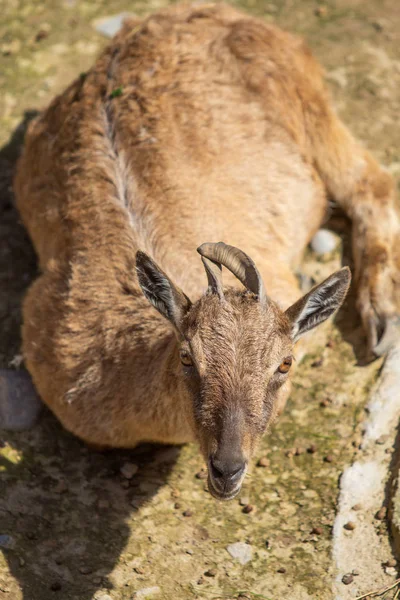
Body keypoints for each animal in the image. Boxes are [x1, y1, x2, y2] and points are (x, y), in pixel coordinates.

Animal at [14, 2, 398, 500]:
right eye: (187, 356)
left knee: (372, 184)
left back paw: (382, 318)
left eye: (285, 363)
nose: (227, 469)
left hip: (313, 109)